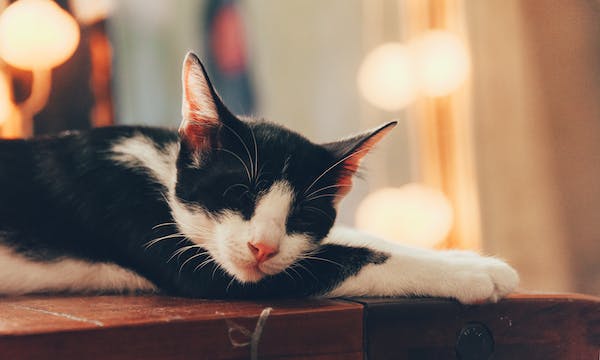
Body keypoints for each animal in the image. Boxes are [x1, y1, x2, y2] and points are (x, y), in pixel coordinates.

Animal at [0, 52, 516, 302]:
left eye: (302, 215)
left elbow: (343, 239)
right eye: (237, 192)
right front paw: (472, 275)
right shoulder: (141, 220)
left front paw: (470, 258)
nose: (262, 247)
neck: (161, 168)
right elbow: (335, 260)